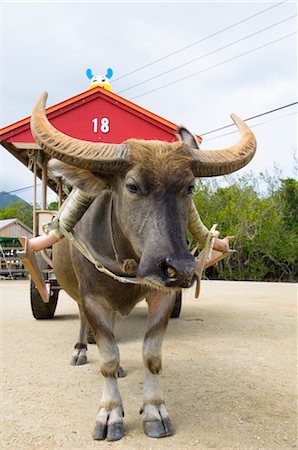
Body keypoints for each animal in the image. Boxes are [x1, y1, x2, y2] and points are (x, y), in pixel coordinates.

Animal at [31, 93, 258, 442]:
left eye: (189, 187)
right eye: (133, 186)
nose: (181, 268)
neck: (129, 258)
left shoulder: (162, 295)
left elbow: (151, 355)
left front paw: (155, 411)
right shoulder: (93, 297)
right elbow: (108, 357)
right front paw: (110, 413)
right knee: (84, 321)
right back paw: (81, 349)